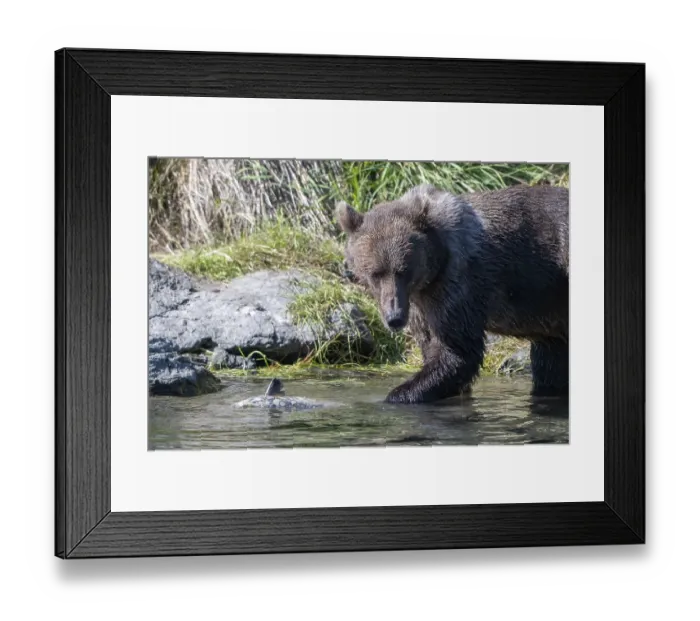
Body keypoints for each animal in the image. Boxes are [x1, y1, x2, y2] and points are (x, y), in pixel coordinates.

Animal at [336, 183, 569, 404]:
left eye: (404, 270)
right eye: (376, 274)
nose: (395, 318)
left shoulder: (457, 283)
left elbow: (456, 351)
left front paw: (397, 394)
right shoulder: (420, 303)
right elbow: (432, 346)